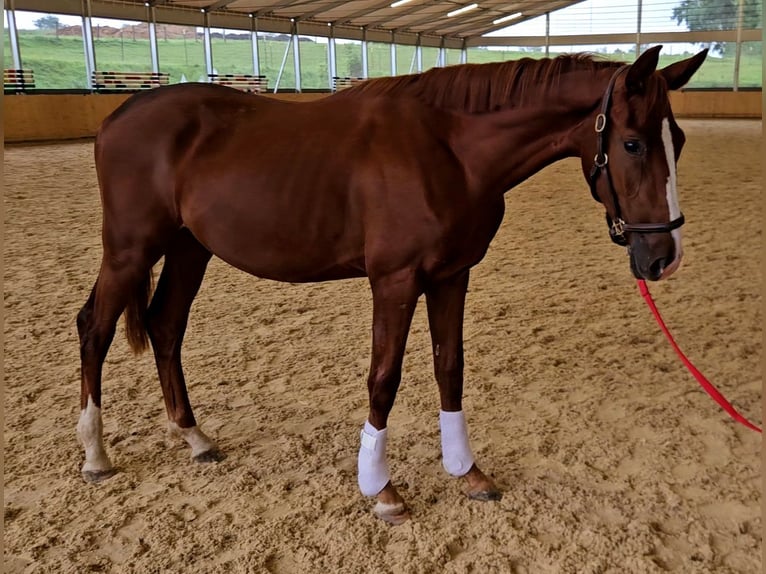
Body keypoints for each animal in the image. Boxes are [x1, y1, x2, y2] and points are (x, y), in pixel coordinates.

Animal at [76, 46, 708, 528]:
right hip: (130, 249)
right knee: (95, 329)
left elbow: (449, 366)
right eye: (632, 143)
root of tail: (121, 115)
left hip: (189, 247)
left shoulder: (452, 276)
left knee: (165, 325)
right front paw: (380, 489)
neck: (450, 151)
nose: (665, 258)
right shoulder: (395, 281)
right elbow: (385, 377)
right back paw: (96, 454)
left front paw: (466, 471)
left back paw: (195, 438)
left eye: (677, 141)